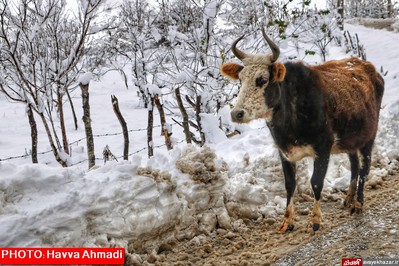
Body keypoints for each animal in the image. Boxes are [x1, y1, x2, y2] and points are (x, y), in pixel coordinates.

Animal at [220, 28, 386, 233]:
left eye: (262, 80)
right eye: (241, 80)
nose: (236, 113)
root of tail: (368, 67)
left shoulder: (323, 149)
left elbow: (316, 182)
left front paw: (315, 220)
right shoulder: (284, 152)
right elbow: (290, 184)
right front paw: (287, 221)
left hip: (369, 137)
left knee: (364, 168)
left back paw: (358, 204)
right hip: (350, 140)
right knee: (354, 165)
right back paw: (348, 199)